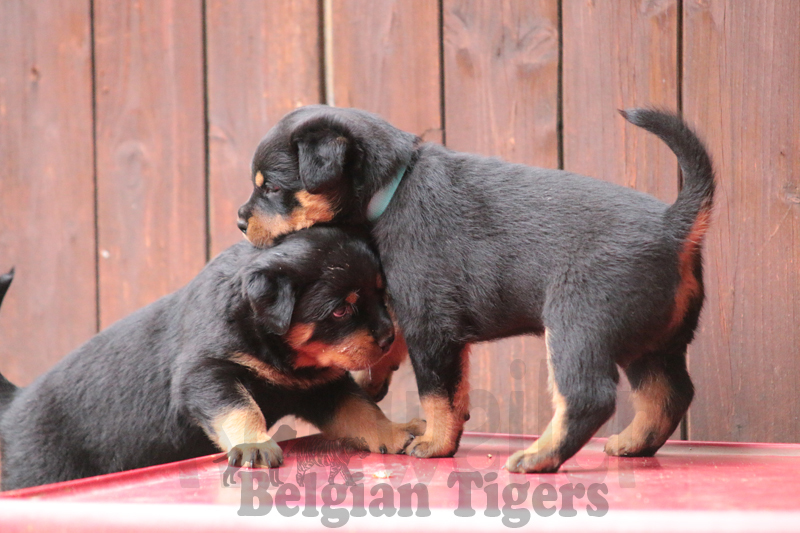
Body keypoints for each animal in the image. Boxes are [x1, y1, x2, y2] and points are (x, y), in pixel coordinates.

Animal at [0, 227, 424, 490]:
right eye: (340, 310)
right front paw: (253, 445)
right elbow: (240, 409)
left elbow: (361, 411)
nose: (389, 337)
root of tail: (13, 402)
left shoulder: (321, 386)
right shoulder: (206, 374)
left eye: (381, 294)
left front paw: (396, 432)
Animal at [236, 106, 715, 473]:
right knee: (669, 393)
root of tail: (674, 225)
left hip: (578, 328)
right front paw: (372, 377)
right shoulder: (418, 313)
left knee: (588, 397)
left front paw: (434, 444)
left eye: (272, 187)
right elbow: (408, 353)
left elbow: (436, 394)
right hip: (653, 343)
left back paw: (538, 458)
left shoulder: (429, 321)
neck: (391, 189)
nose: (241, 220)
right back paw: (634, 444)